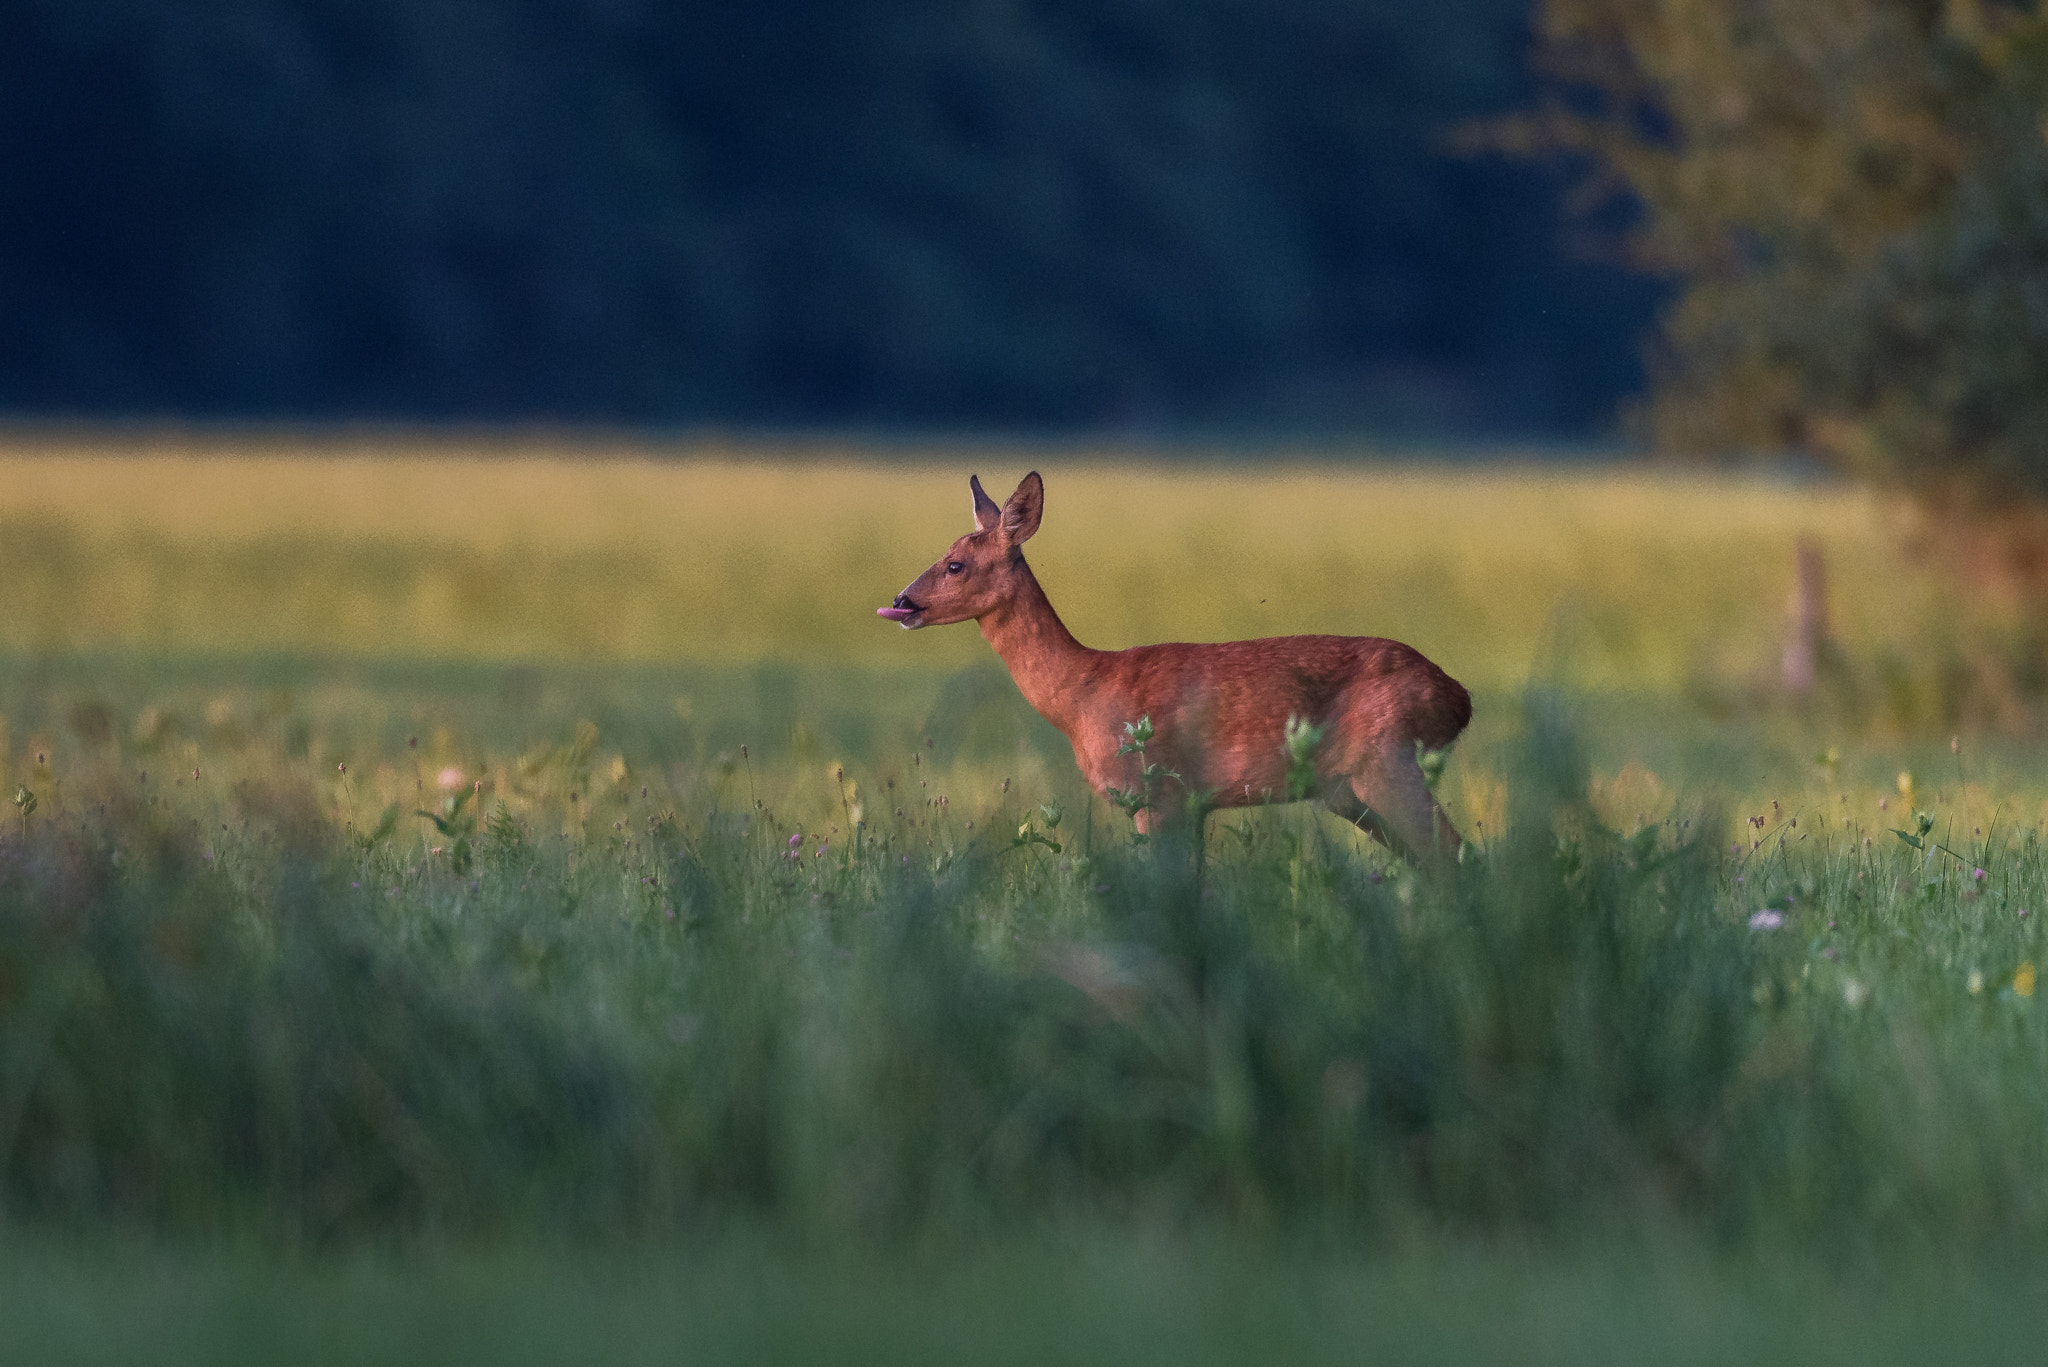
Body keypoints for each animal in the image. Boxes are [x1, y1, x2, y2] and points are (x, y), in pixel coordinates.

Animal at [877, 472, 1471, 861]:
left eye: (956, 564)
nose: (903, 601)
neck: (1083, 694)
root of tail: (1458, 697)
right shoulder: (1190, 806)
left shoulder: (1160, 791)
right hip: (1352, 794)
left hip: (1387, 763)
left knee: (1458, 858)